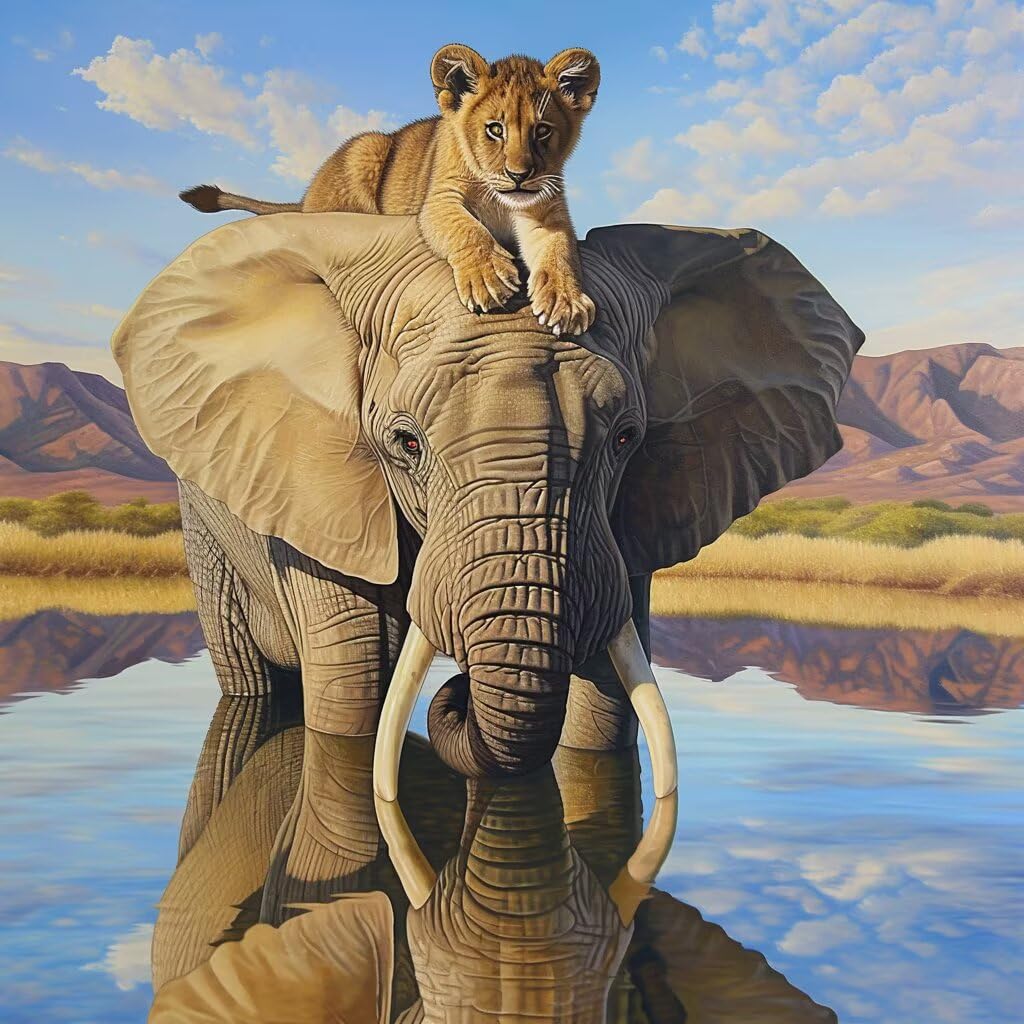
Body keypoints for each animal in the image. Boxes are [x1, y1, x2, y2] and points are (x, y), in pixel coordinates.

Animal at [180, 44, 600, 336]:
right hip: (366, 147)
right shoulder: (439, 200)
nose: (518, 175)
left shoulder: (546, 211)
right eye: (494, 129)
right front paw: (488, 278)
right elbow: (465, 229)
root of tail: (305, 199)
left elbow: (559, 251)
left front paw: (564, 301)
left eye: (542, 130)